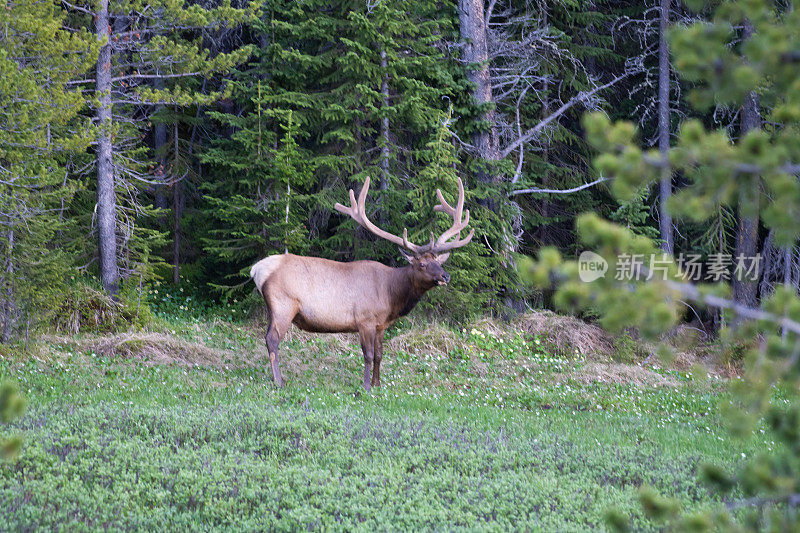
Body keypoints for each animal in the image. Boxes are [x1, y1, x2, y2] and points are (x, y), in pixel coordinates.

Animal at [252, 177, 476, 388]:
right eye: (421, 264)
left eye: (439, 262)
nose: (445, 276)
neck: (391, 295)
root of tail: (257, 269)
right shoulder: (364, 319)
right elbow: (367, 355)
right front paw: (366, 387)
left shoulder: (381, 325)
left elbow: (379, 355)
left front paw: (378, 384)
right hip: (284, 305)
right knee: (272, 340)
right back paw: (279, 381)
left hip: (273, 308)